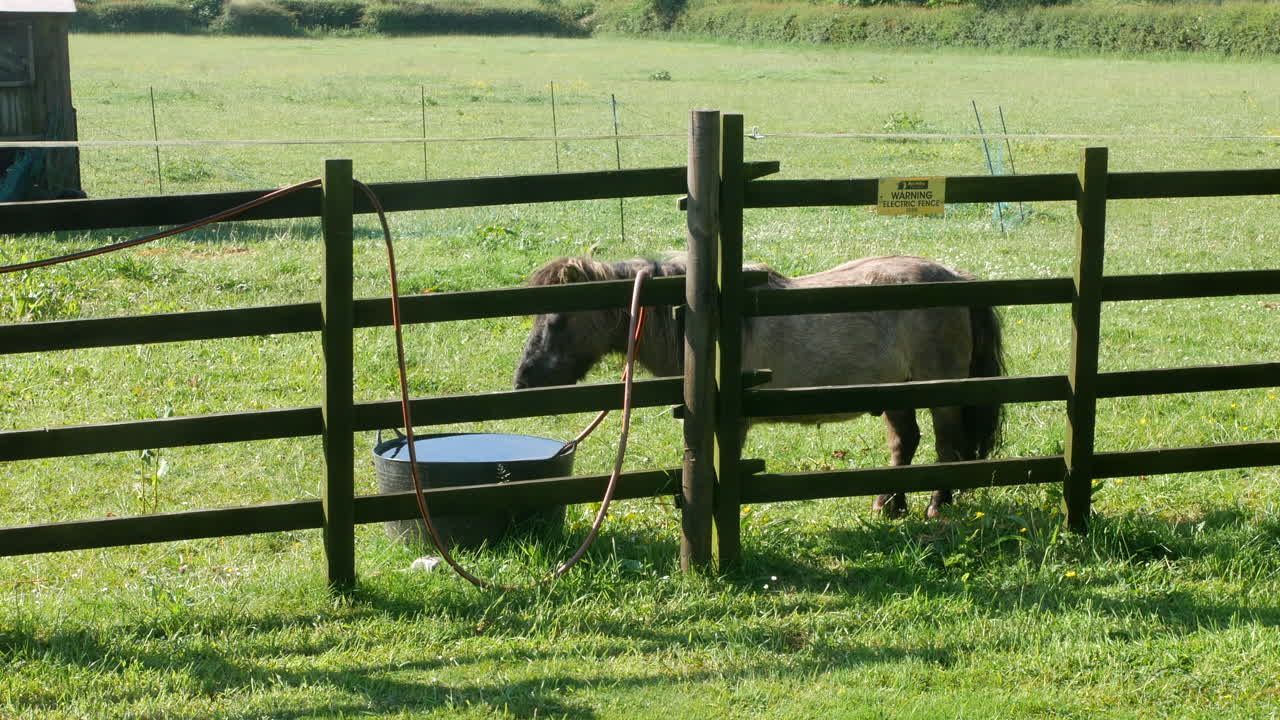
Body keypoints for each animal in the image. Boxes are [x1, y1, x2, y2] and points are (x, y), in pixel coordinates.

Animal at [513, 255, 1005, 519]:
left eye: (557, 320)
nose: (523, 380)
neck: (704, 327)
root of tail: (954, 277)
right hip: (897, 393)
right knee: (906, 443)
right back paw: (890, 504)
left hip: (939, 392)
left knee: (947, 446)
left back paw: (936, 506)